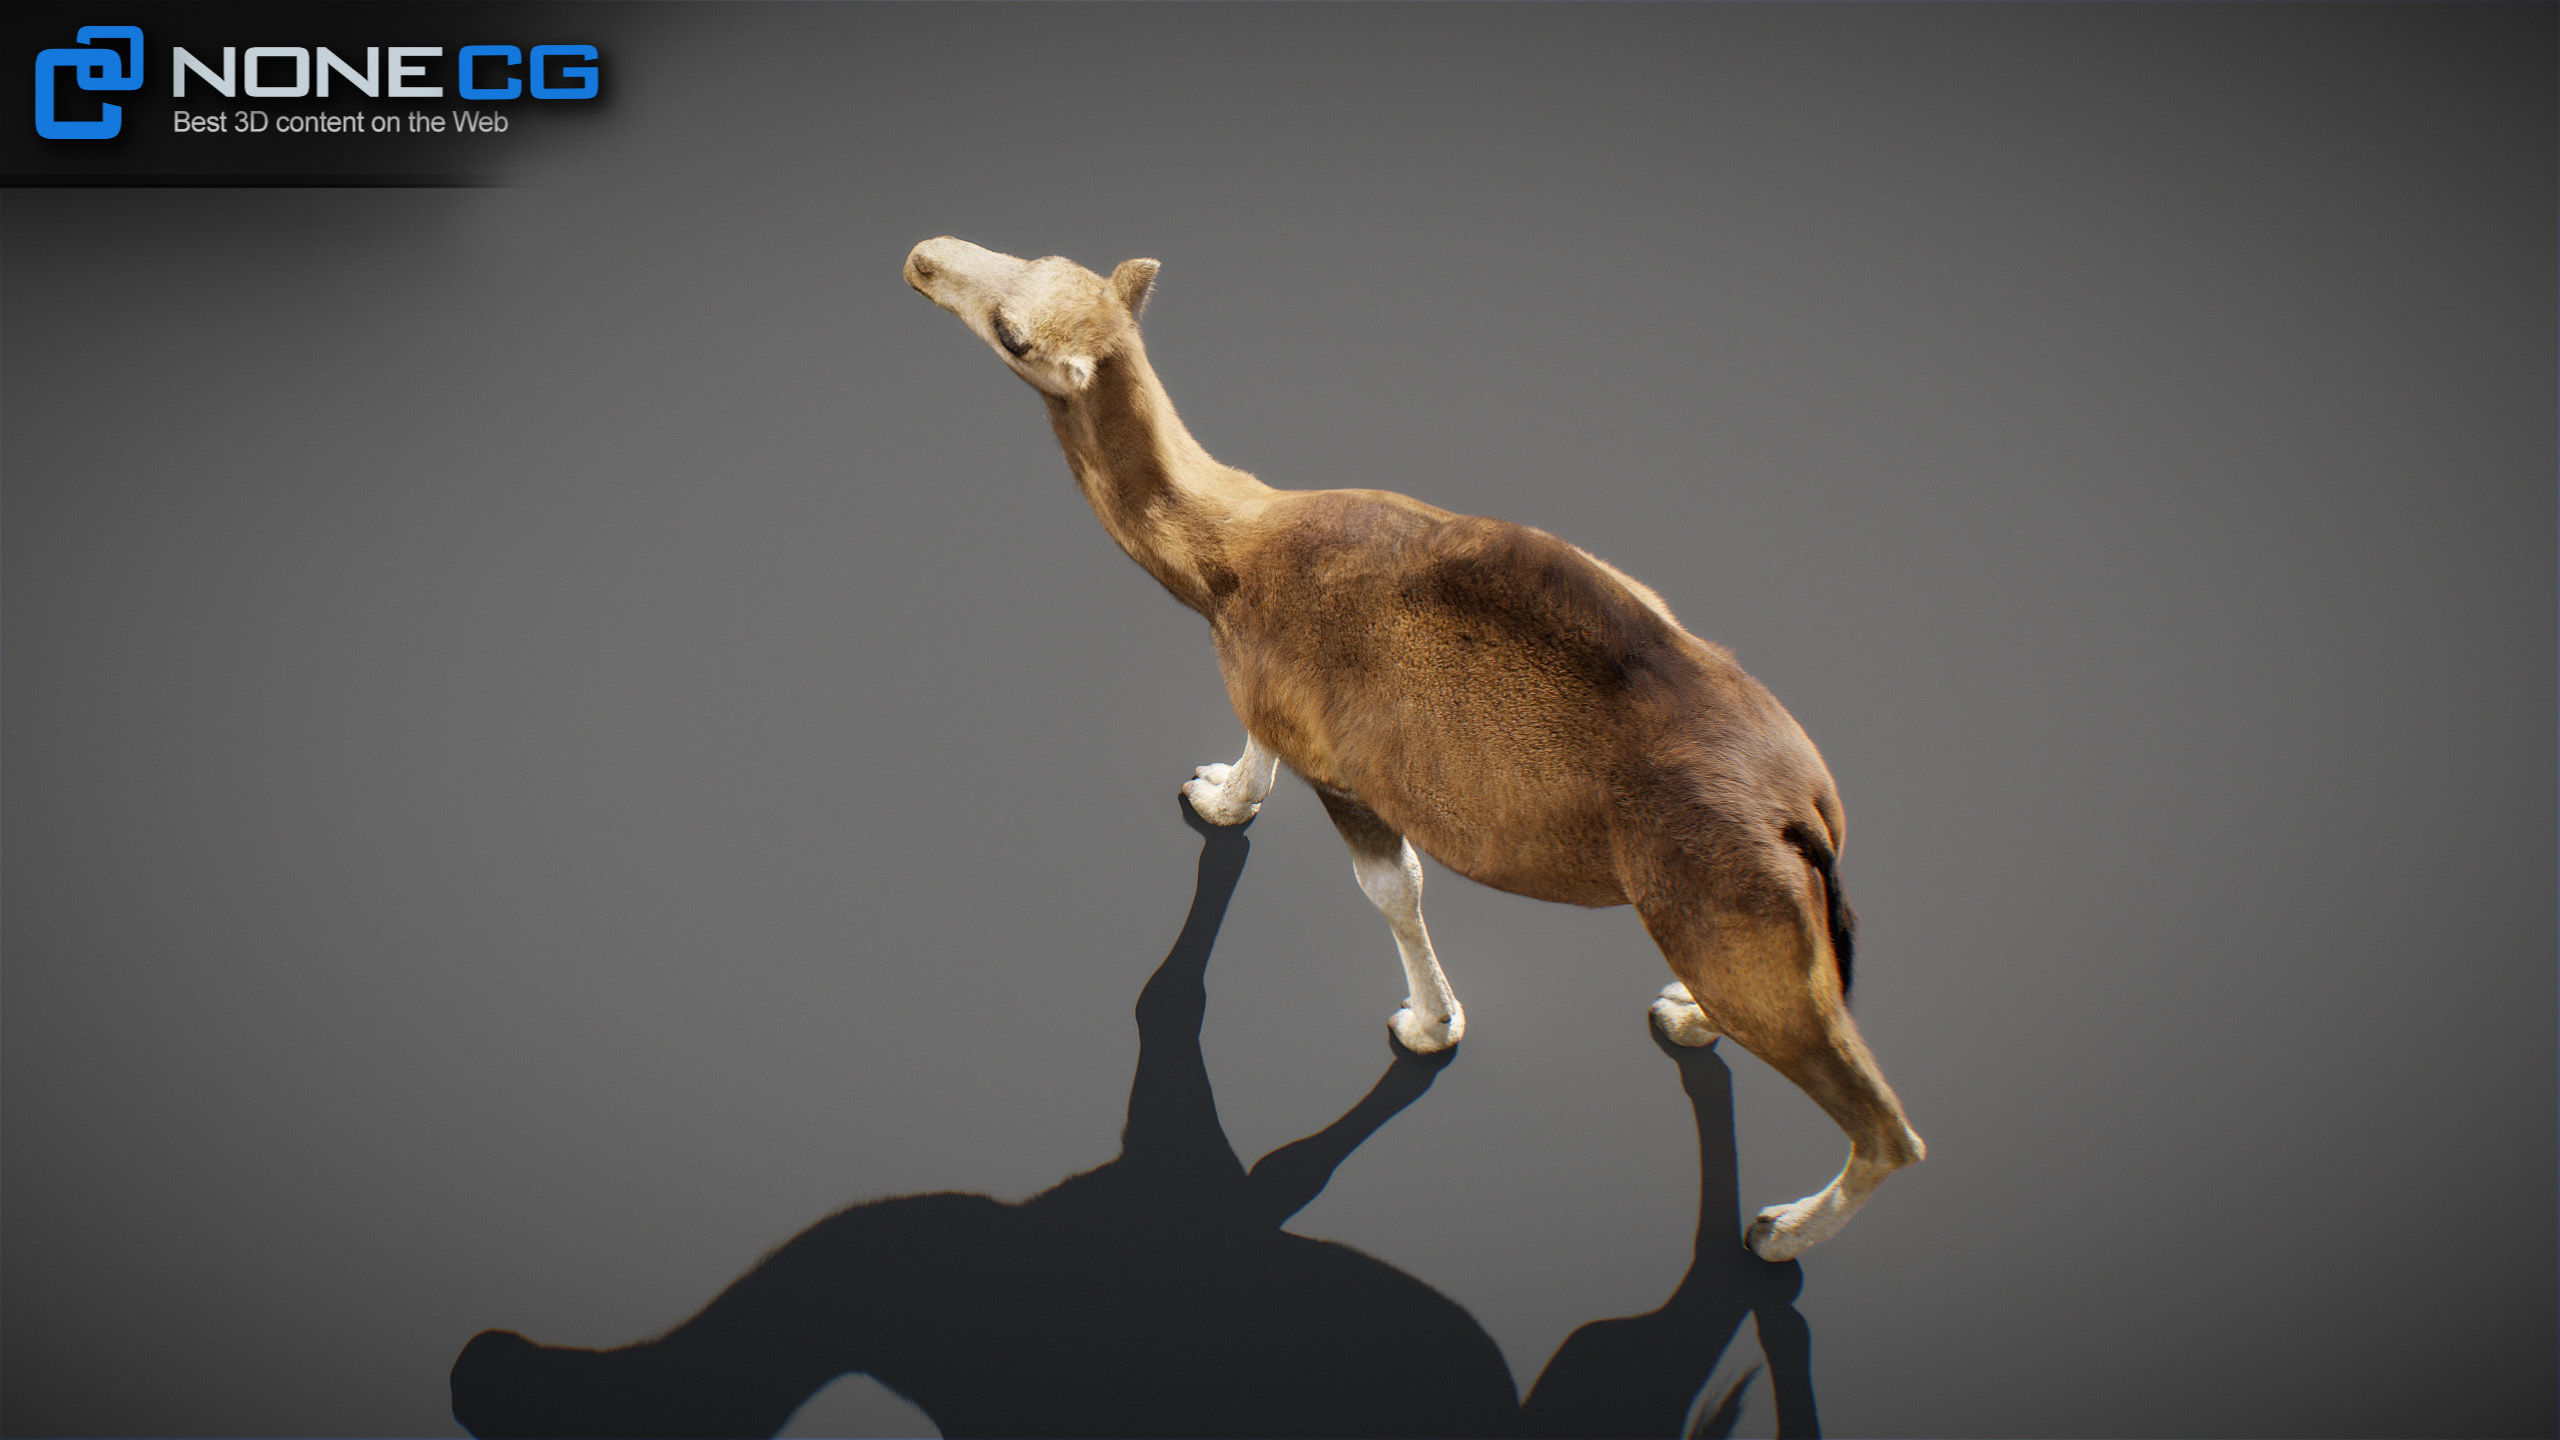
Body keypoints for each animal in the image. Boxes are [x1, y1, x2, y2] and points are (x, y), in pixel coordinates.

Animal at [902, 238, 1923, 1260]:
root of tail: (1805, 812)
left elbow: (1387, 890)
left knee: (1886, 1129)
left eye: (1013, 335)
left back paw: (1779, 1232)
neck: (1229, 556)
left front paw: (1429, 1027)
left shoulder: (1349, 777)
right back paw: (1686, 1016)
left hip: (1728, 904)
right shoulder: (1273, 695)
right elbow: (1256, 757)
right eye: (1037, 260)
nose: (923, 260)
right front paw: (1221, 798)